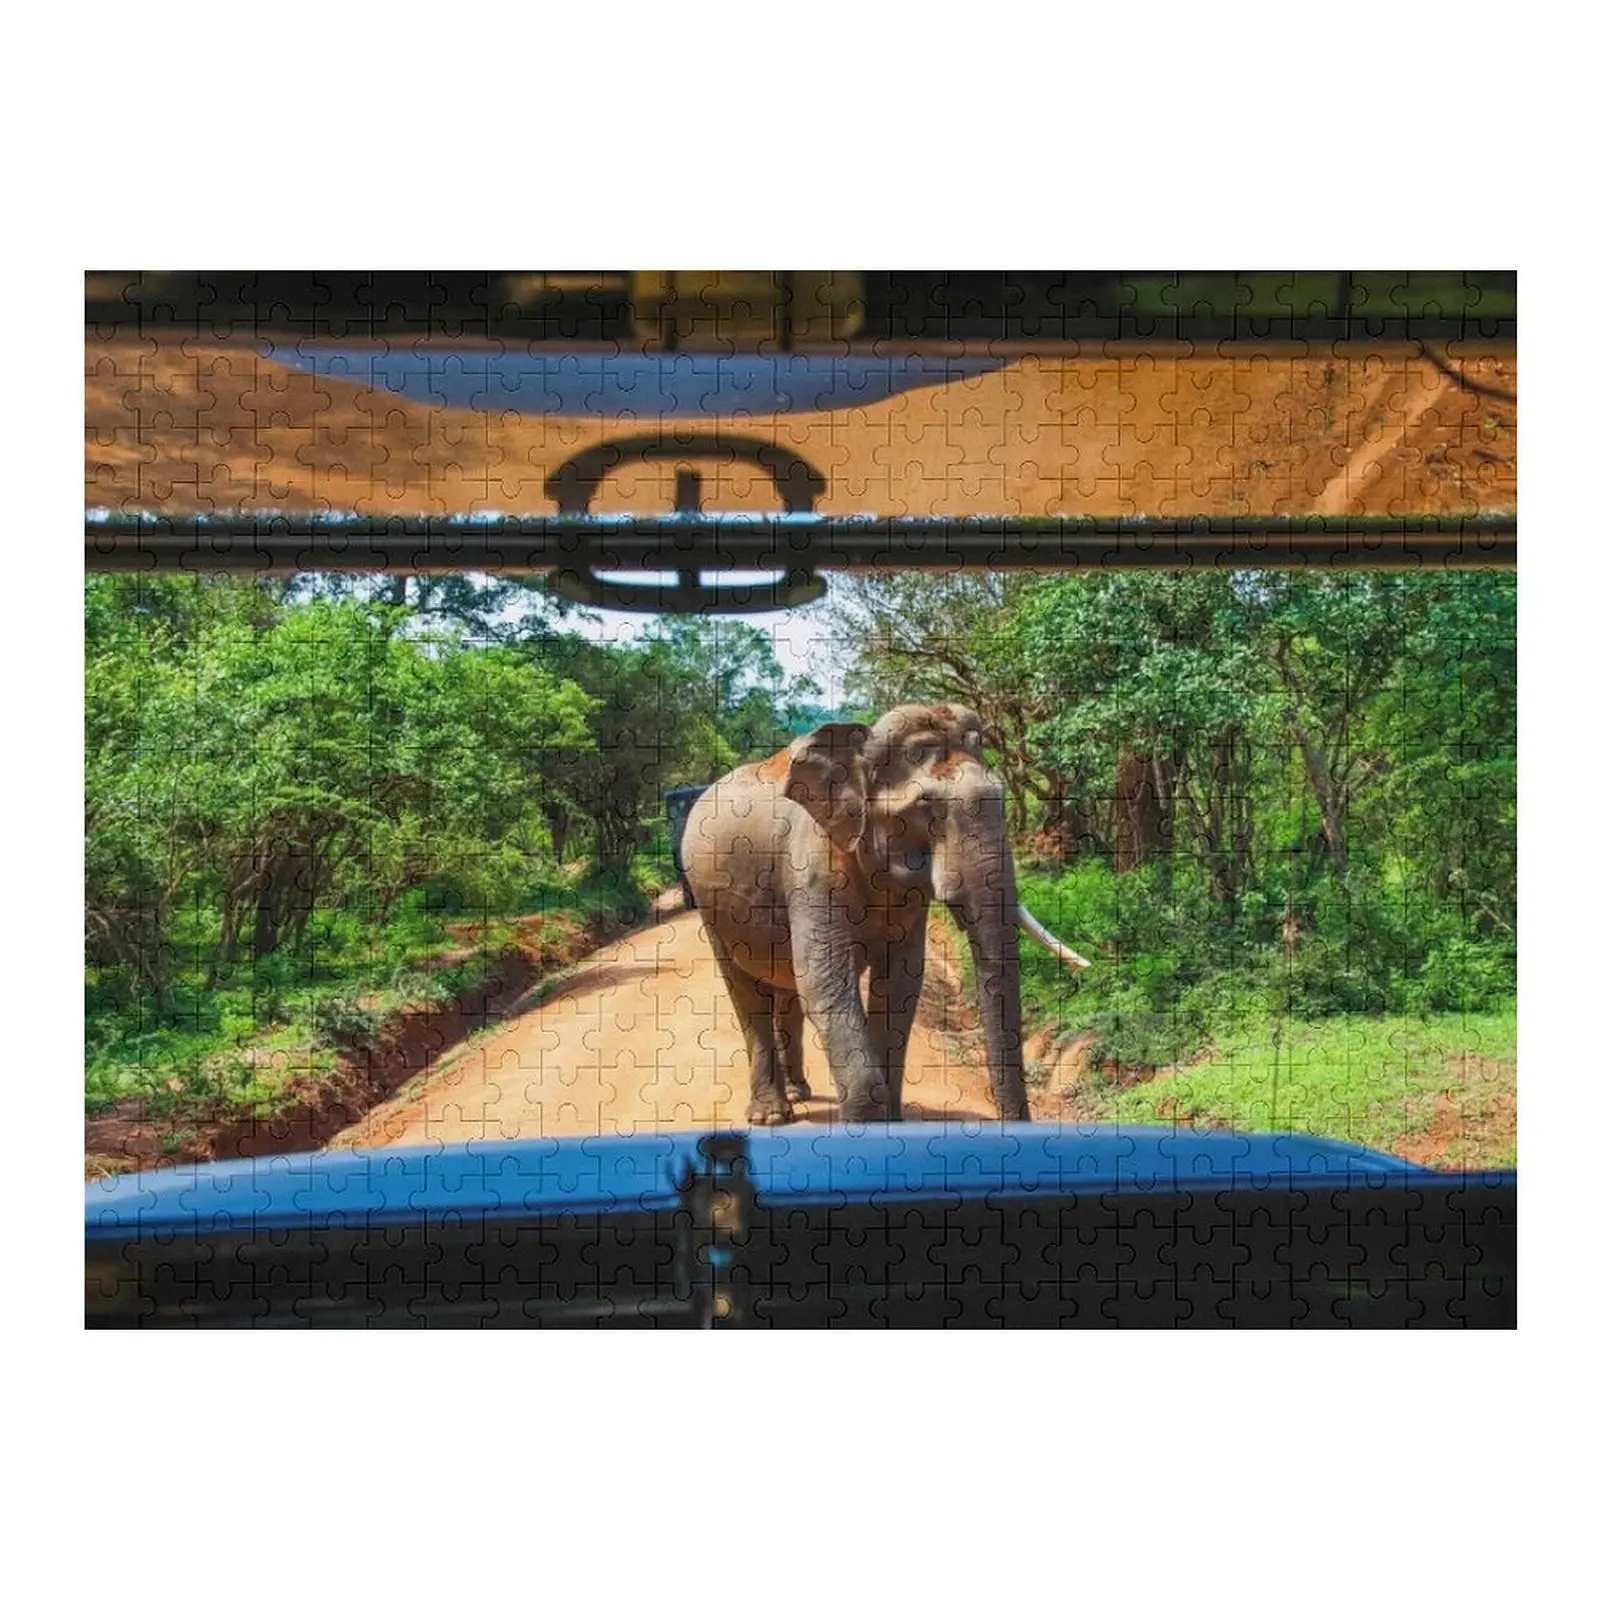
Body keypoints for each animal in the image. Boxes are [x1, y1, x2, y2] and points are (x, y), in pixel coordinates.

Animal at [681, 703, 1088, 1125]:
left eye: (1001, 798)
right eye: (927, 806)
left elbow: (900, 984)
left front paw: (889, 1122)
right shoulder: (811, 870)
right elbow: (824, 982)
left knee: (786, 990)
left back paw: (797, 1093)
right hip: (711, 908)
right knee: (747, 993)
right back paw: (771, 1115)